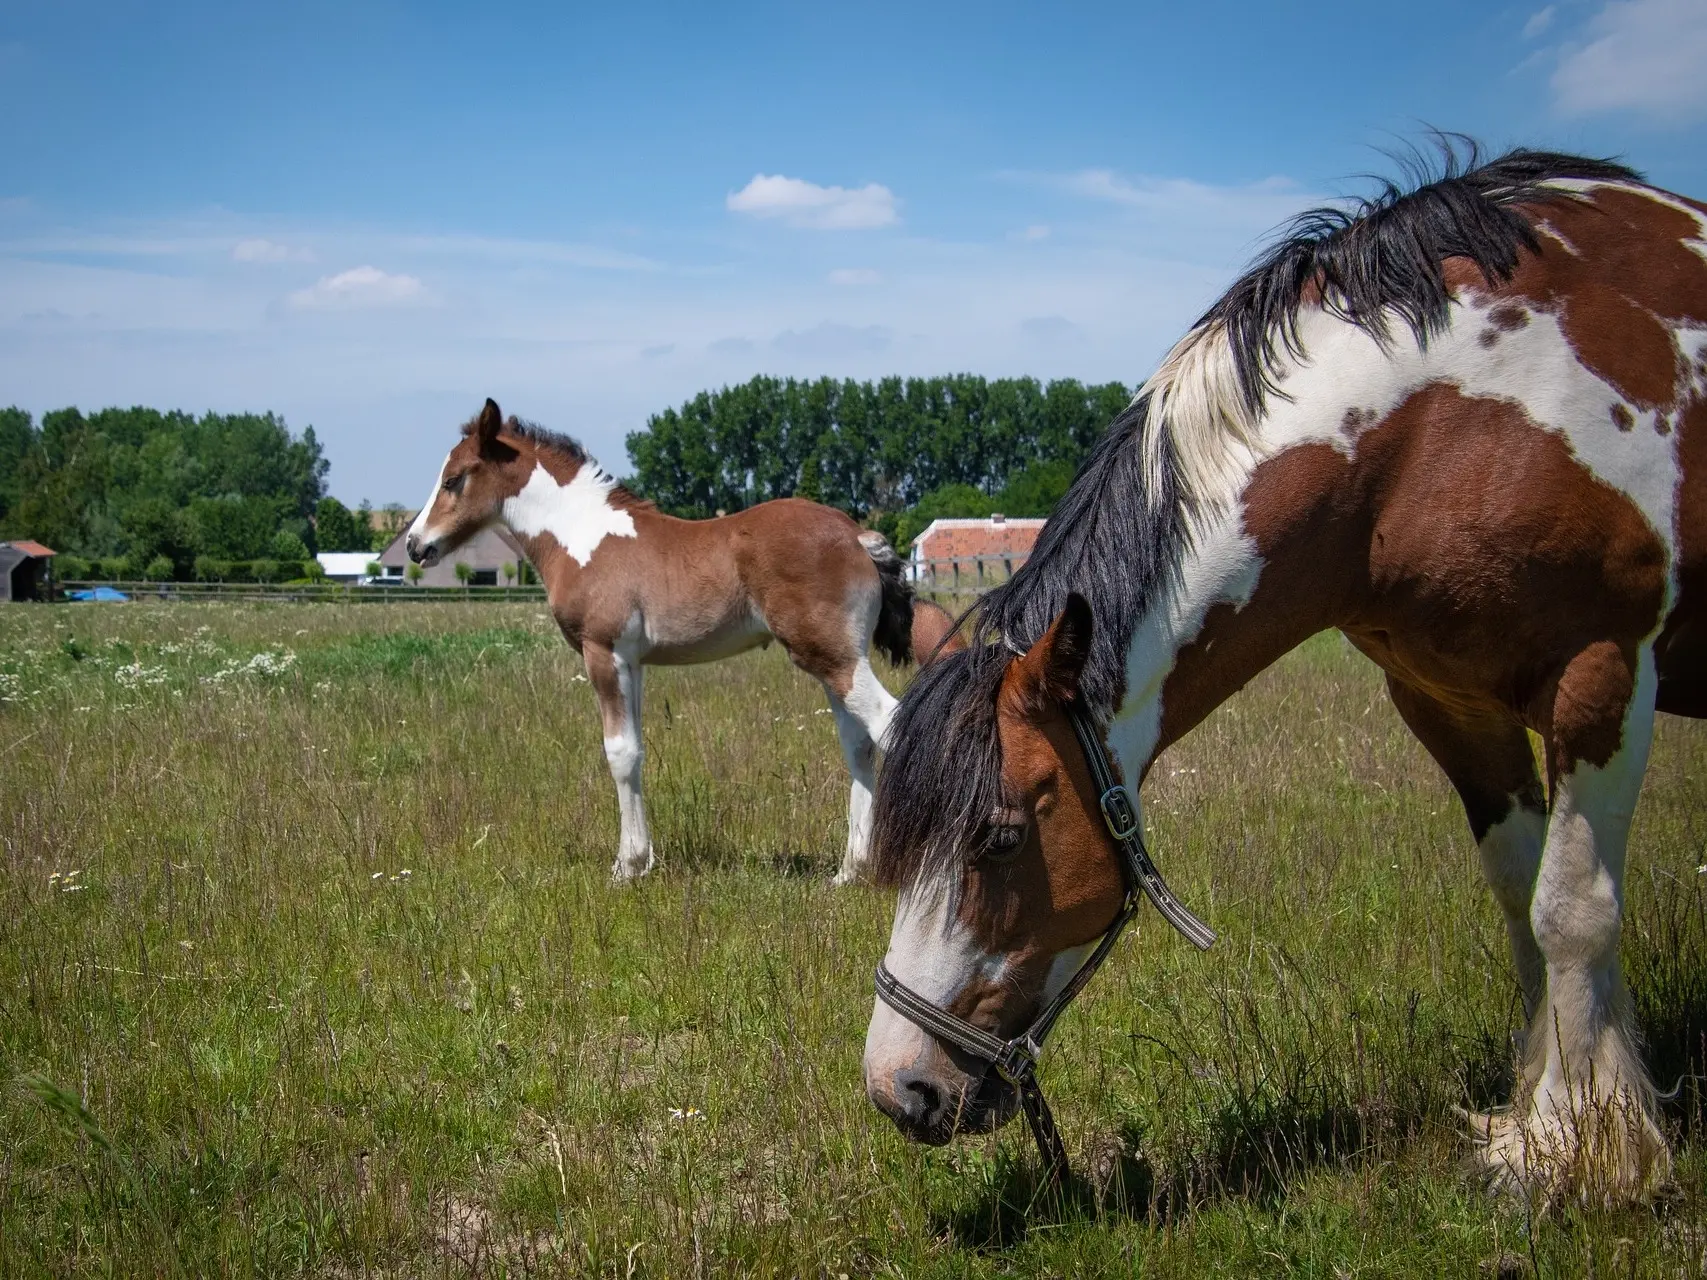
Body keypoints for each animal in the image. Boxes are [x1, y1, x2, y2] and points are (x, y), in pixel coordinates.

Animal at [402, 401, 921, 880]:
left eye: (453, 480)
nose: (414, 545)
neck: (582, 536)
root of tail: (856, 535)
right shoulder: (632, 662)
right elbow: (635, 752)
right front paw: (643, 861)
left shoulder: (602, 652)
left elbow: (617, 752)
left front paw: (626, 867)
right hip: (836, 659)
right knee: (858, 743)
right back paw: (850, 870)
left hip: (831, 656)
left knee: (888, 724)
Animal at [867, 152, 1707, 1215]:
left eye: (1002, 836)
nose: (897, 1087)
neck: (1437, 428)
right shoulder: (1448, 699)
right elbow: (1521, 896)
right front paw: (1545, 1098)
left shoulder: (1600, 673)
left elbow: (1572, 908)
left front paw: (1580, 1147)